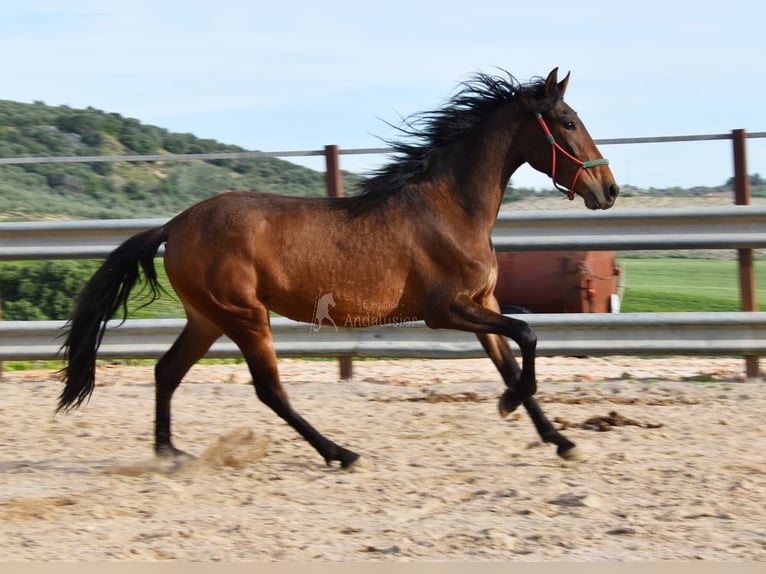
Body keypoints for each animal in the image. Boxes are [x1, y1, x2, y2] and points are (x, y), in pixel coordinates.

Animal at [61, 68, 624, 472]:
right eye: (568, 122)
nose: (609, 190)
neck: (451, 209)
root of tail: (175, 224)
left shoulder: (482, 305)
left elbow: (511, 358)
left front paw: (560, 440)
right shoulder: (447, 311)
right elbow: (528, 335)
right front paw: (509, 405)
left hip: (207, 318)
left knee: (167, 372)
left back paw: (169, 454)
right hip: (244, 316)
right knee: (269, 391)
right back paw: (340, 453)